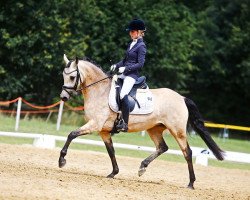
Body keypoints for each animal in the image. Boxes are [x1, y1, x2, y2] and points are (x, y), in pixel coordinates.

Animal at [59, 54, 225, 189]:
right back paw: (142, 167)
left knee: (187, 152)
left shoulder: (95, 124)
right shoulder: (103, 131)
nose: (63, 97)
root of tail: (181, 98)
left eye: (72, 77)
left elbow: (71, 134)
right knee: (162, 147)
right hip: (154, 129)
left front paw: (62, 160)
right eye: (63, 76)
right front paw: (114, 173)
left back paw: (191, 183)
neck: (100, 92)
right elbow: (111, 151)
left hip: (177, 131)